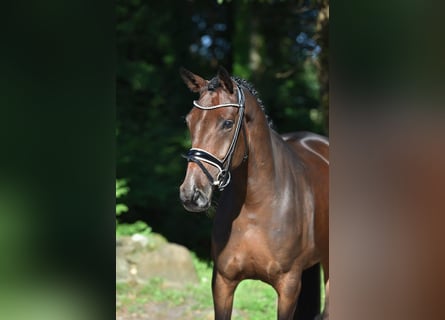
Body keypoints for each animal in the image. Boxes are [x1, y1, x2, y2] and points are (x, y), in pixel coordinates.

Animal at [179, 66, 328, 318]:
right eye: (190, 121)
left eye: (227, 123)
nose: (191, 193)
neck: (255, 205)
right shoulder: (222, 282)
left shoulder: (288, 287)